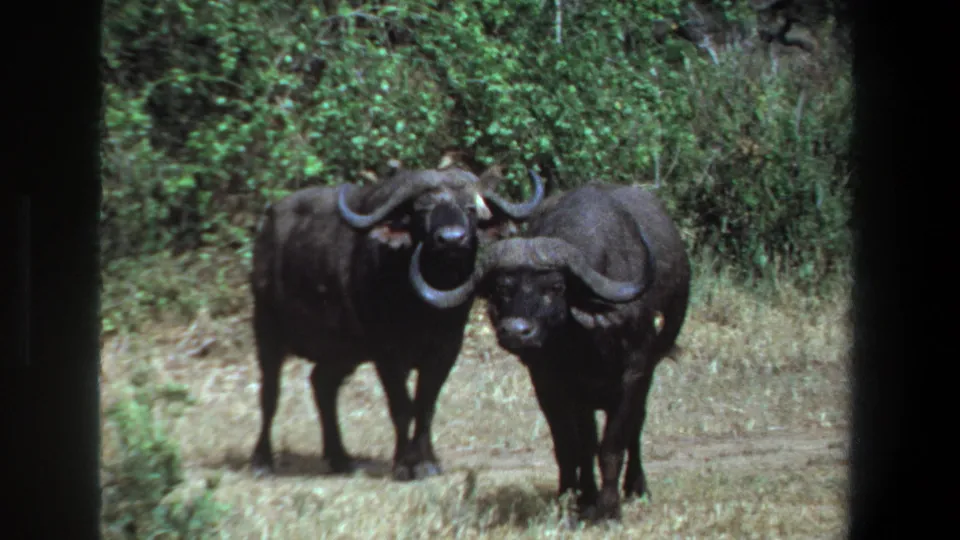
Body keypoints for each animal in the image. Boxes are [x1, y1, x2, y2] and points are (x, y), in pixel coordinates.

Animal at [249, 159, 545, 481]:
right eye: (423, 210)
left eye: (469, 208)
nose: (452, 239)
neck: (423, 306)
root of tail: (267, 224)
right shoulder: (387, 353)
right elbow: (401, 406)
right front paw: (404, 464)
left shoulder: (446, 349)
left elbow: (426, 405)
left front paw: (427, 462)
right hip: (266, 328)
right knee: (270, 393)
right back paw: (262, 460)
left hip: (342, 351)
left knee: (322, 384)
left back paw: (341, 458)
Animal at [411, 182, 691, 520]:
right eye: (502, 288)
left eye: (555, 287)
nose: (516, 331)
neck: (586, 341)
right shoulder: (551, 384)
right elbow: (572, 446)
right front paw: (576, 499)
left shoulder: (635, 375)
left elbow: (613, 445)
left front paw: (609, 509)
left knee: (635, 426)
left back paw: (637, 487)